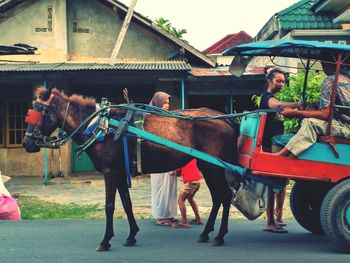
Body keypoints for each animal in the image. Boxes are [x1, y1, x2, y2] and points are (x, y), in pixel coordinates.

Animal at [21, 87, 241, 252]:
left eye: (38, 111)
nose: (26, 143)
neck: (101, 126)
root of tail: (224, 117)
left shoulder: (110, 172)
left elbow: (110, 206)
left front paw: (105, 241)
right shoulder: (119, 172)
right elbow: (126, 203)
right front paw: (132, 236)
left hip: (213, 166)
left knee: (223, 197)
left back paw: (219, 236)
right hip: (208, 165)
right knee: (218, 198)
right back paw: (207, 233)